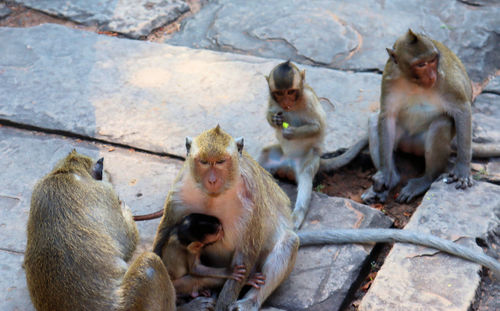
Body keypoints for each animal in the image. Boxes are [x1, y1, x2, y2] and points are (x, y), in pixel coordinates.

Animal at [24, 151, 214, 311]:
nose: (108, 173)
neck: (66, 173)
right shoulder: (105, 193)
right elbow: (125, 243)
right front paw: (124, 209)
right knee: (149, 265)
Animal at [152, 127, 500, 311]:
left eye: (221, 162)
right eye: (203, 162)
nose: (211, 179)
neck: (216, 194)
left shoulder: (251, 205)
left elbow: (244, 255)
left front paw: (227, 303)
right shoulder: (181, 189)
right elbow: (164, 234)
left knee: (286, 244)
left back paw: (249, 301)